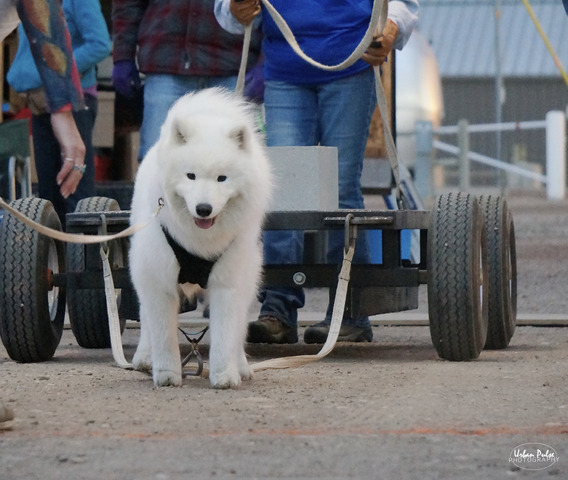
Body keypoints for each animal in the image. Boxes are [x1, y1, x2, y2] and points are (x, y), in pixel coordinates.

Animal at [130, 88, 272, 388]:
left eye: (222, 178)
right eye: (191, 176)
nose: (203, 208)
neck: (198, 242)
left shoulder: (226, 285)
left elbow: (224, 335)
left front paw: (224, 375)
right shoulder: (159, 281)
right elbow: (163, 334)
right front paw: (167, 374)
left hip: (247, 280)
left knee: (239, 330)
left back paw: (241, 366)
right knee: (146, 321)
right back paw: (144, 358)